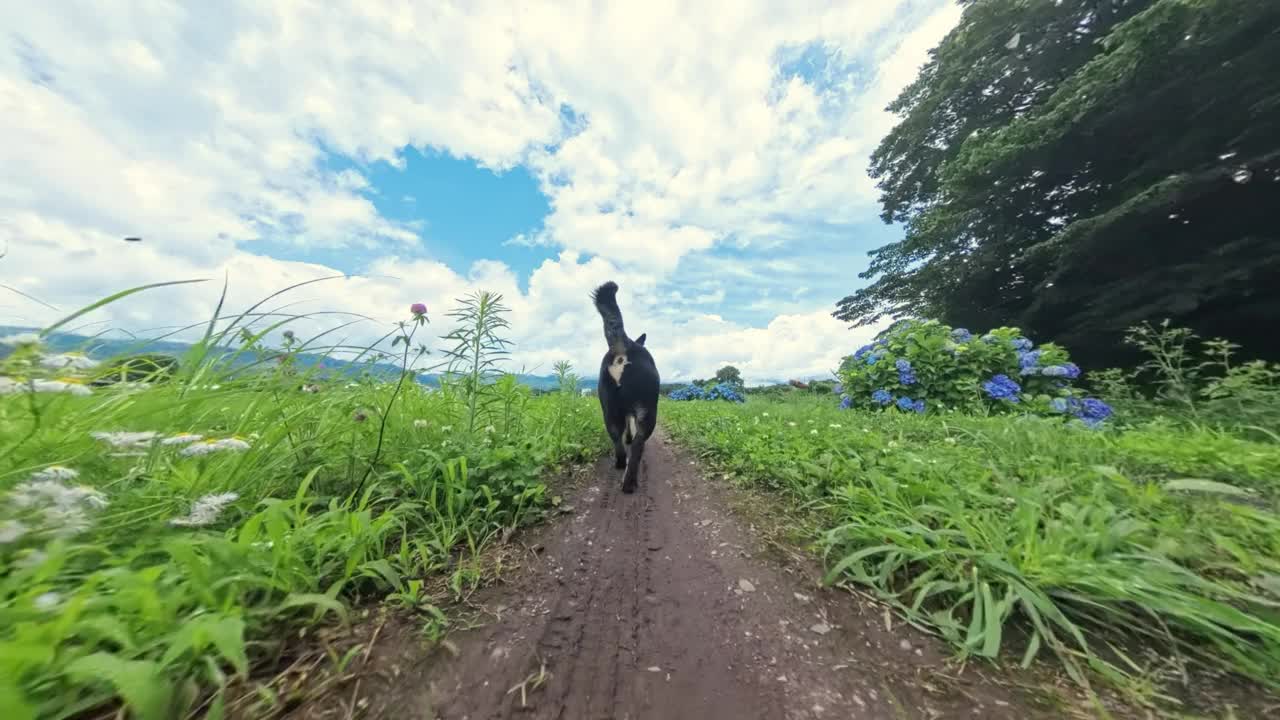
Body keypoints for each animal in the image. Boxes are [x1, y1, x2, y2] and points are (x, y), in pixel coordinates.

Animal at [591, 278, 660, 489]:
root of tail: (624, 343)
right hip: (648, 412)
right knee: (638, 445)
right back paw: (629, 482)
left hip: (609, 411)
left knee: (617, 441)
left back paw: (621, 465)